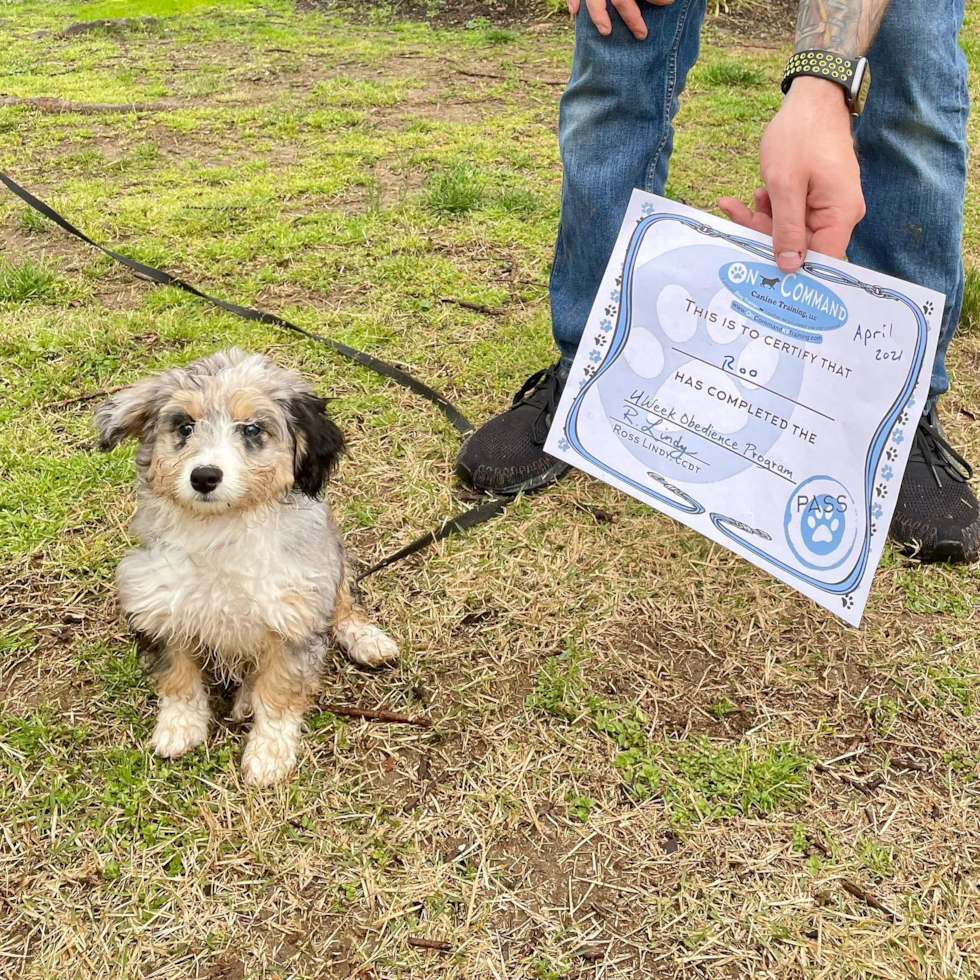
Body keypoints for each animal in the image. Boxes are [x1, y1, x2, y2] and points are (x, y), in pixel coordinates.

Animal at [93, 348, 398, 784]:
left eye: (252, 429)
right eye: (185, 426)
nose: (204, 476)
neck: (222, 529)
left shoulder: (294, 615)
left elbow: (279, 695)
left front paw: (269, 755)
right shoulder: (159, 605)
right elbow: (178, 678)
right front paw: (179, 728)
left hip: (331, 559)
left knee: (344, 604)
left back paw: (366, 640)